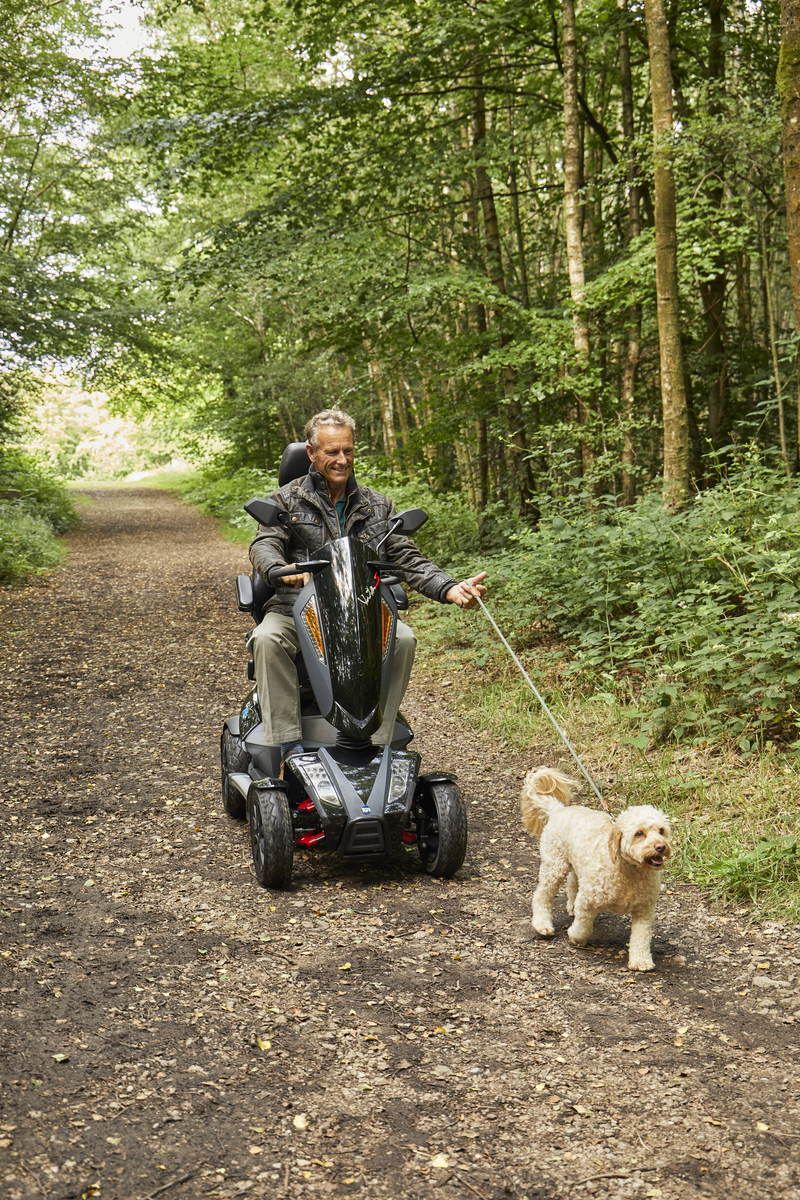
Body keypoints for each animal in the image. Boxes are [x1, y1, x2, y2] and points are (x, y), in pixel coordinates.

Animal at [520, 767, 673, 972]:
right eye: (639, 833)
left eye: (661, 831)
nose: (660, 846)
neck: (628, 872)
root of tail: (559, 809)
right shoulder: (588, 901)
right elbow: (584, 926)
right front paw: (575, 937)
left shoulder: (645, 911)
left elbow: (641, 937)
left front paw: (641, 961)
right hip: (554, 866)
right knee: (542, 895)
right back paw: (542, 923)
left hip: (575, 865)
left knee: (572, 883)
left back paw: (570, 906)